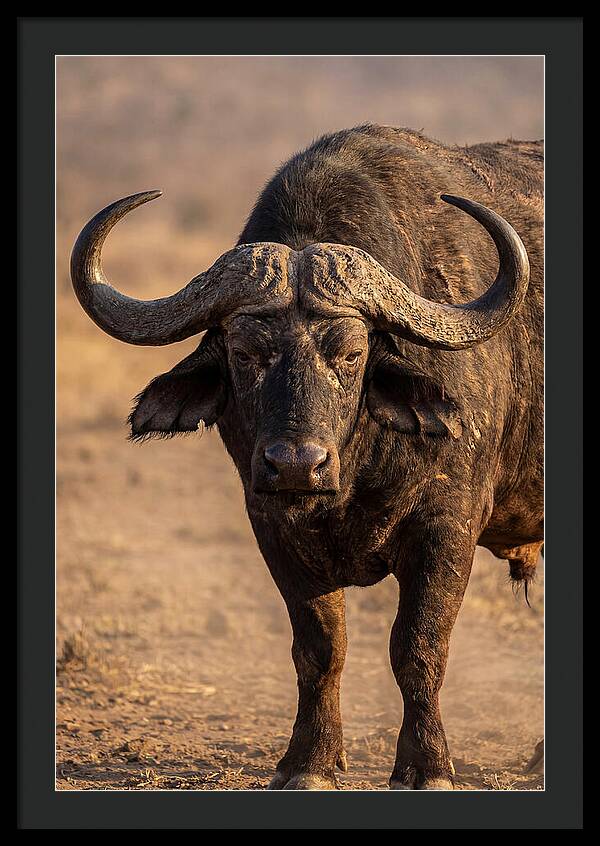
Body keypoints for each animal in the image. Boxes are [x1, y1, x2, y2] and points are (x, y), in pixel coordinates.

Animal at [70, 125, 543, 790]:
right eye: (245, 351)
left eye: (350, 352)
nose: (295, 464)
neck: (353, 472)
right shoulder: (272, 528)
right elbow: (320, 650)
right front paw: (310, 762)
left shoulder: (446, 529)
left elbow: (419, 648)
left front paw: (428, 766)